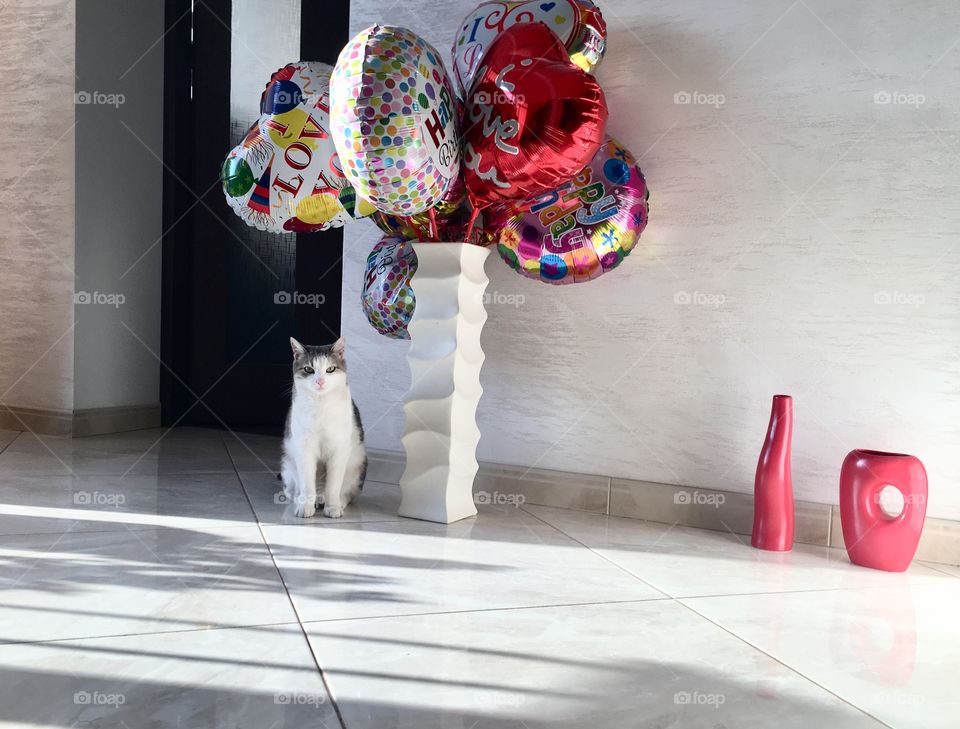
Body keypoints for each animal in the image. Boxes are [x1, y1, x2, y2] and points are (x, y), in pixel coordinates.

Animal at [282, 336, 368, 516]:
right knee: (293, 490)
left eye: (330, 369)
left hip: (358, 464)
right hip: (288, 465)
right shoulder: (304, 449)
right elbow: (307, 484)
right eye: (308, 369)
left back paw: (335, 501)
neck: (321, 404)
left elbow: (334, 485)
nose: (320, 381)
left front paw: (333, 507)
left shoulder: (339, 449)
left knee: (346, 493)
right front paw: (305, 508)